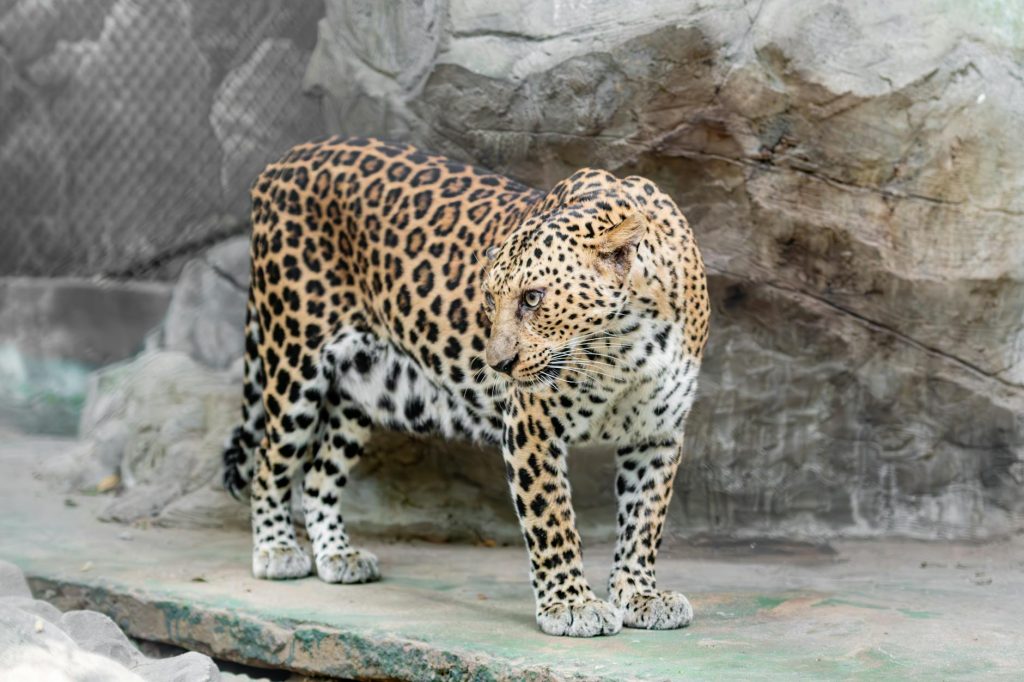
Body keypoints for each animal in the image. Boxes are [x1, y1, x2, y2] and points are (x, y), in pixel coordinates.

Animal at [222, 135, 710, 637]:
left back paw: (339, 556)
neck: (625, 349)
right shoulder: (532, 427)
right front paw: (571, 605)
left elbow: (644, 519)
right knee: (269, 462)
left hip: (362, 386)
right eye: (490, 299)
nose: (497, 364)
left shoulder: (657, 433)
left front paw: (641, 594)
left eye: (533, 298)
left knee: (320, 474)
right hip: (295, 360)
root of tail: (282, 161)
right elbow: (552, 519)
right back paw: (277, 550)